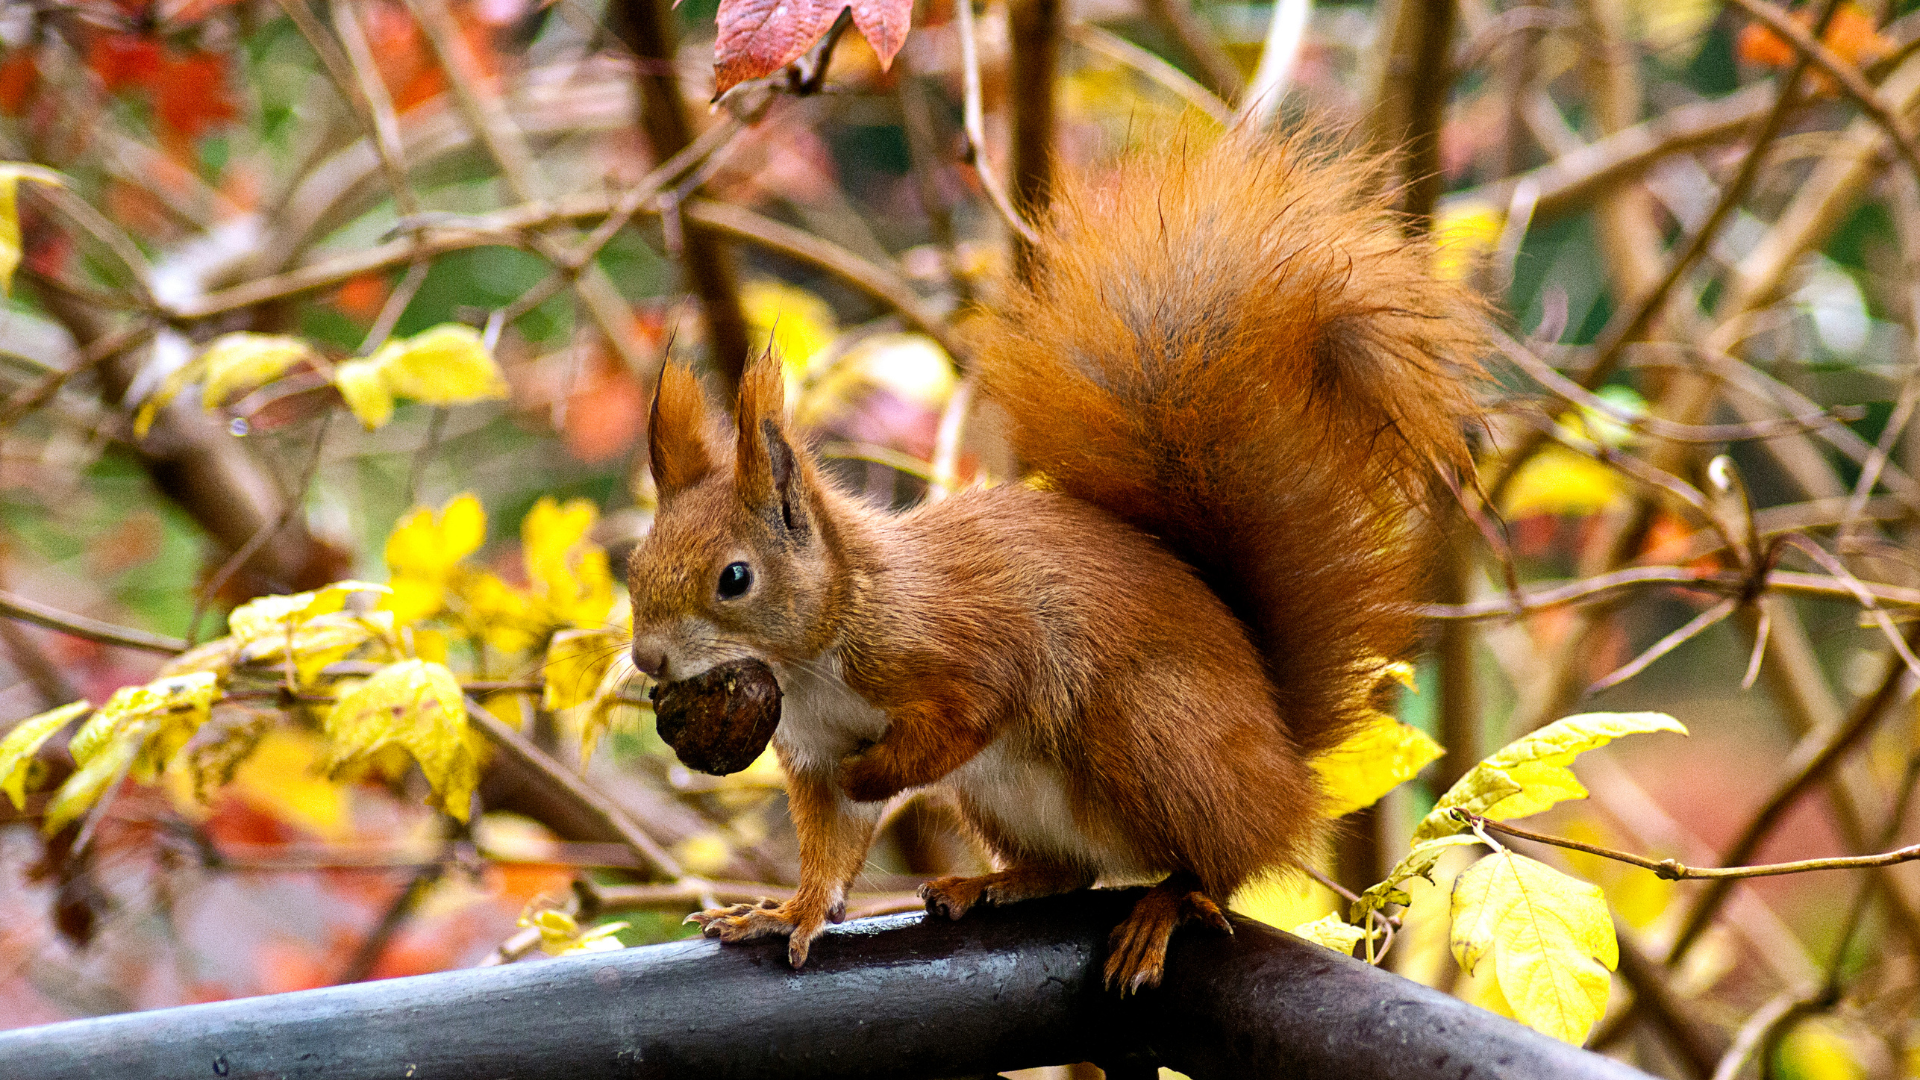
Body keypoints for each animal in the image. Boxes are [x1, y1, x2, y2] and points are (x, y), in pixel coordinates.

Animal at [626, 131, 1484, 992]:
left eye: (735, 579)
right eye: (635, 570)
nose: (648, 659)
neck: (819, 647)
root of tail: (1283, 763)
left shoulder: (958, 644)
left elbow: (966, 714)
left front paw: (876, 775)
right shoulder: (813, 747)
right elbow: (831, 846)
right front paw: (786, 913)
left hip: (1154, 734)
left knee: (1219, 866)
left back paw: (1164, 906)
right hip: (1009, 798)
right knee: (1077, 871)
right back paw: (993, 883)